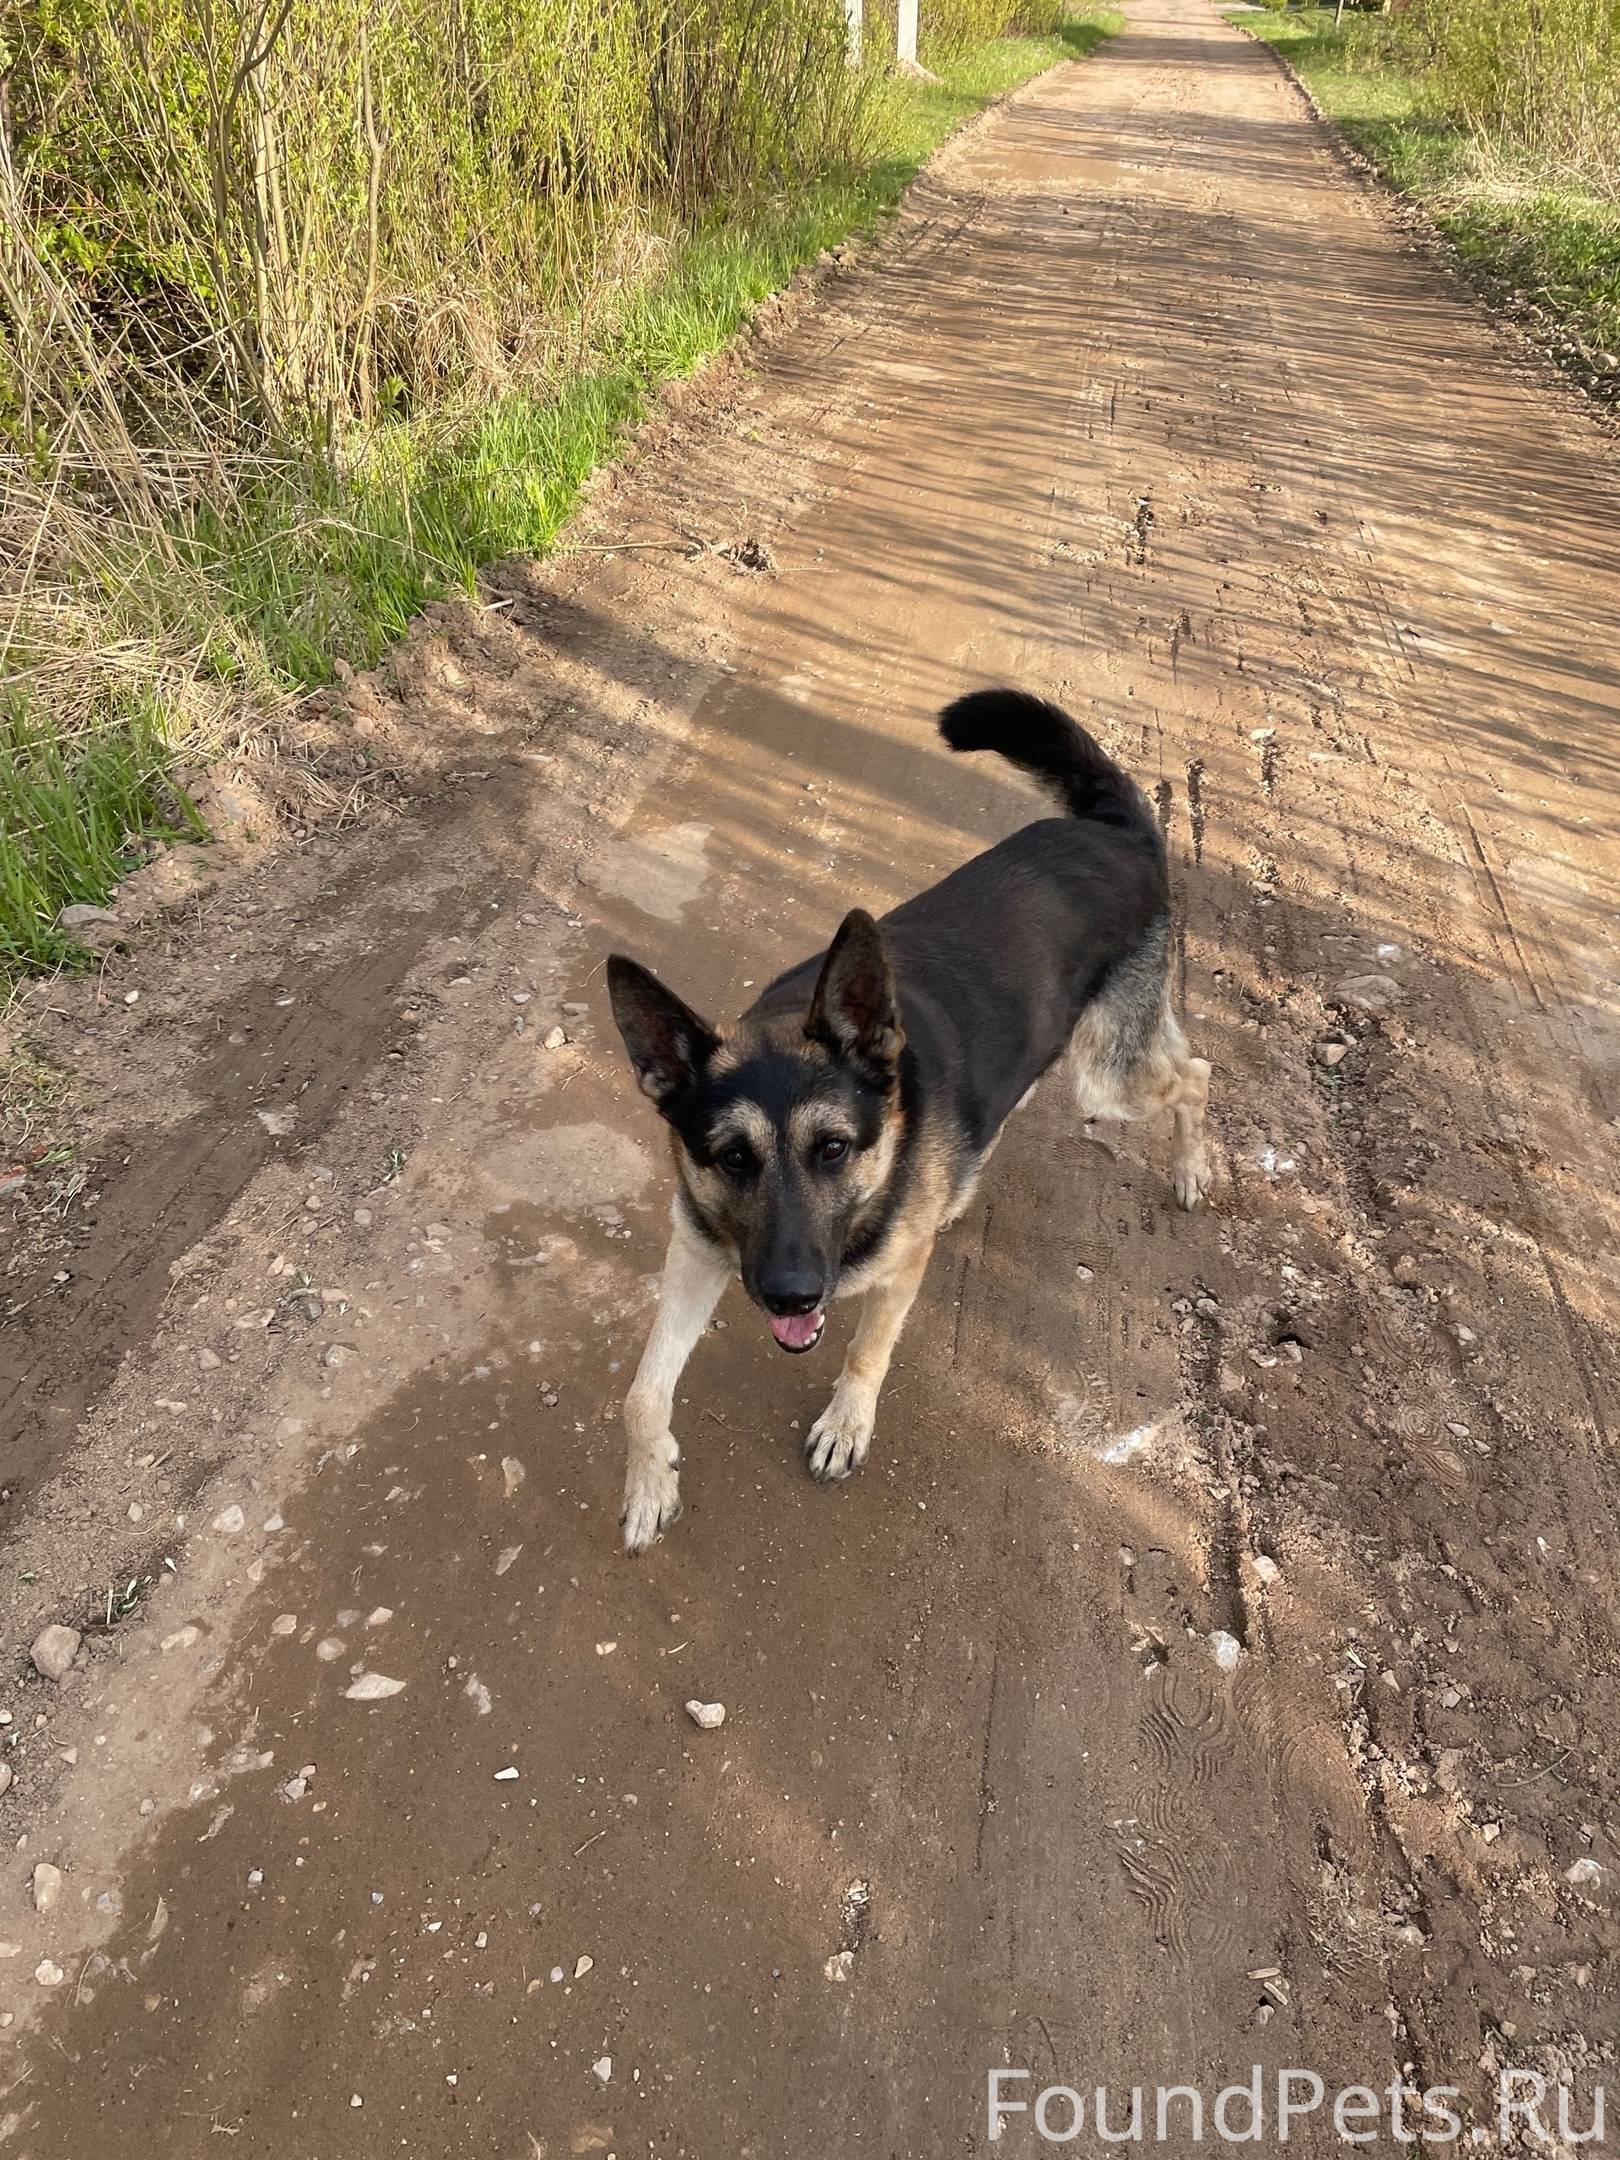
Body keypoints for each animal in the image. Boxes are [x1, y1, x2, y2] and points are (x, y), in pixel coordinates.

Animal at [604, 691, 1209, 1555]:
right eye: (731, 1158)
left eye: (832, 1148)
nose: (790, 1297)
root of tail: (1116, 827)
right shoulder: (697, 1253)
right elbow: (642, 1392)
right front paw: (649, 1481)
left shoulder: (888, 1281)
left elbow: (867, 1349)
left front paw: (846, 1423)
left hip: (1107, 1076)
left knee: (1196, 1073)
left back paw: (1192, 1168)